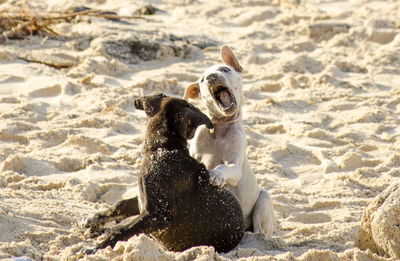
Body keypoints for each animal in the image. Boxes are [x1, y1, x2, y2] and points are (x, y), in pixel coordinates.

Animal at [83, 93, 244, 252]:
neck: (164, 148)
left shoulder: (158, 214)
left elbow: (121, 231)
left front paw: (96, 248)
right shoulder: (143, 202)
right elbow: (120, 205)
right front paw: (95, 220)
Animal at [184, 45, 276, 237]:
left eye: (225, 70)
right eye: (202, 79)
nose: (211, 77)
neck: (219, 129)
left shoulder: (235, 166)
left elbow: (224, 167)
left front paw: (217, 175)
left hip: (263, 199)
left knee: (259, 231)